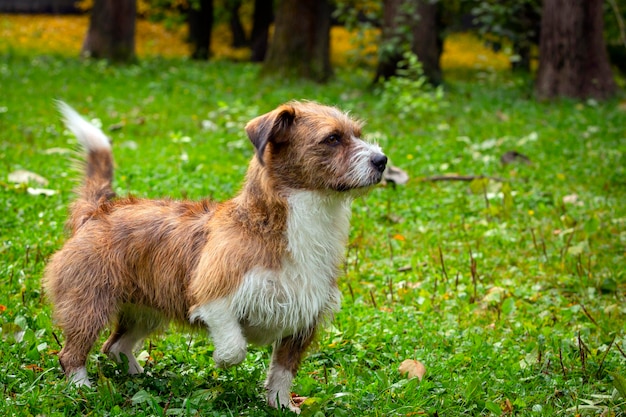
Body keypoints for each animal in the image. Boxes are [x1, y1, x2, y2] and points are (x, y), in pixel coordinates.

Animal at [44, 99, 386, 412]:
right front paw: (221, 359)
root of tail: (99, 210)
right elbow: (236, 347)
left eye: (357, 134)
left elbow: (282, 372)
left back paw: (139, 377)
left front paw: (279, 404)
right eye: (332, 138)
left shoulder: (304, 319)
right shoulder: (213, 295)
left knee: (115, 345)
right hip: (90, 305)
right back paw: (81, 387)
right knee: (72, 353)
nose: (382, 160)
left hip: (146, 310)